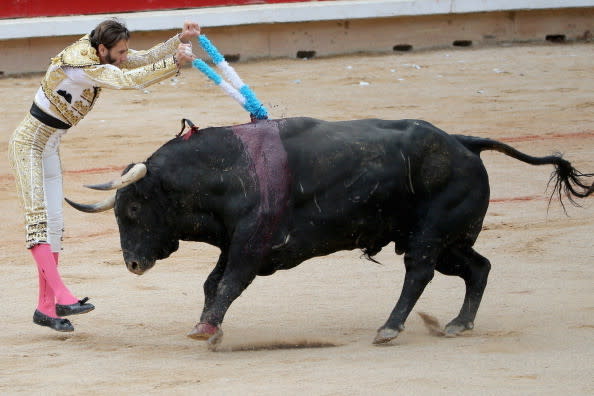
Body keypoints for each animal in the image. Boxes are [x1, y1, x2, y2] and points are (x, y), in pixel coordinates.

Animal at [65, 117, 592, 346]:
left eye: (134, 208)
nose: (134, 263)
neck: (226, 170)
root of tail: (463, 142)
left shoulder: (251, 245)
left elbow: (228, 283)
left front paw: (205, 328)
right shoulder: (235, 243)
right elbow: (212, 282)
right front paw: (210, 329)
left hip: (430, 236)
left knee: (418, 273)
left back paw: (390, 327)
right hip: (446, 239)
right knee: (478, 268)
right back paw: (459, 323)